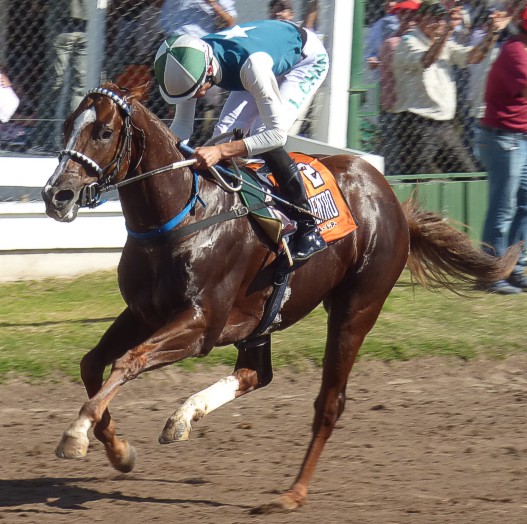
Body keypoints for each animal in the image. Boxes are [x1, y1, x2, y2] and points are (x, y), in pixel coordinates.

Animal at [41, 83, 519, 512]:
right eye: (67, 125)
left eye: (104, 131)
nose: (55, 195)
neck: (183, 216)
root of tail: (391, 200)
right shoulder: (142, 313)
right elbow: (92, 364)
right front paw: (119, 450)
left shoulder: (202, 323)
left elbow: (129, 361)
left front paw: (76, 434)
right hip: (265, 317)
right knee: (256, 373)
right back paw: (184, 417)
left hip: (356, 309)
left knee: (329, 403)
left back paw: (293, 493)